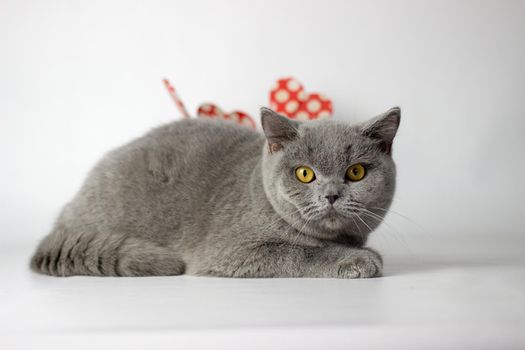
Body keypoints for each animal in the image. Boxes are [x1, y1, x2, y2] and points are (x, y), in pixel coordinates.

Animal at [30, 108, 400, 278]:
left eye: (356, 172)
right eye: (305, 174)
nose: (332, 194)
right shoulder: (234, 252)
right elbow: (300, 254)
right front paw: (359, 260)